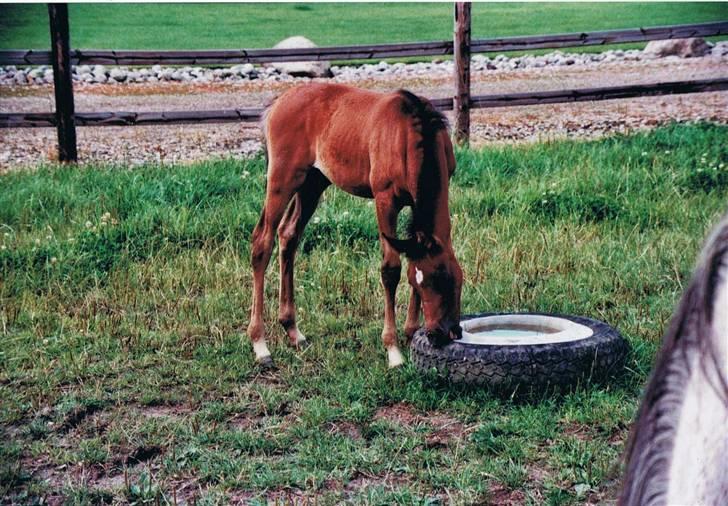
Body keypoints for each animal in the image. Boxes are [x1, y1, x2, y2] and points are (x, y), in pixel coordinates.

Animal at [247, 83, 464, 368]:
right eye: (427, 284)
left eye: (448, 279)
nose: (442, 333)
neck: (411, 133)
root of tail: (278, 101)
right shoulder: (385, 200)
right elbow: (390, 269)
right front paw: (393, 349)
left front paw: (410, 331)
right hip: (283, 178)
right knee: (262, 241)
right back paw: (260, 345)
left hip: (313, 182)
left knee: (288, 235)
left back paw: (293, 330)